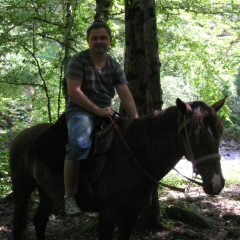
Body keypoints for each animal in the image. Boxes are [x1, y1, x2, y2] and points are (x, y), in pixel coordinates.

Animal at [9, 97, 227, 240]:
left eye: (219, 132)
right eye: (194, 135)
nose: (216, 183)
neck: (136, 157)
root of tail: (21, 136)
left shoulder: (130, 214)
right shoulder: (108, 214)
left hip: (47, 193)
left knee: (39, 221)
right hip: (22, 191)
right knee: (19, 225)